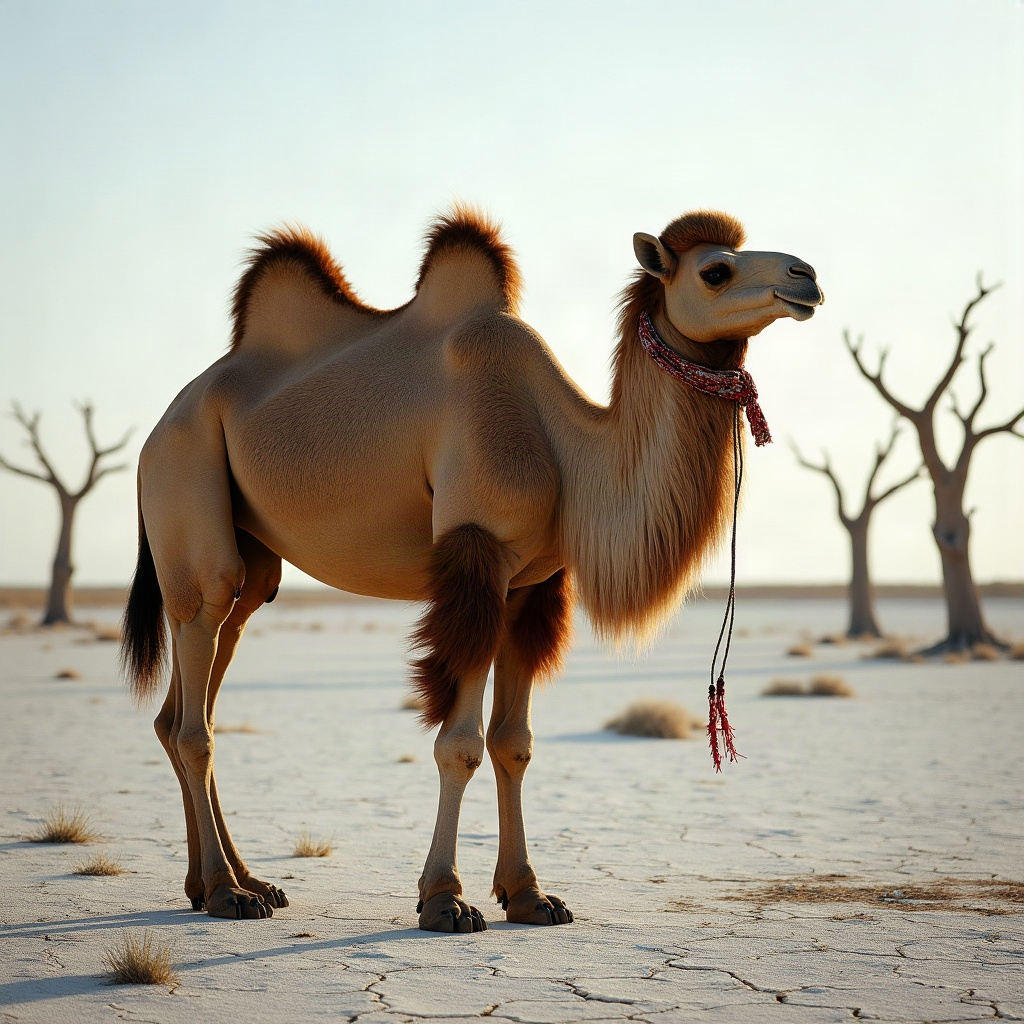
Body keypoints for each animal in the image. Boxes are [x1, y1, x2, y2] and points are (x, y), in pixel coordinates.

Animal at [121, 206, 822, 931]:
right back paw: (227, 891)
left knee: (183, 706)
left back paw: (233, 883)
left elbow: (515, 743)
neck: (567, 445)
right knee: (195, 715)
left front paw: (530, 895)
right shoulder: (477, 555)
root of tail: (158, 428)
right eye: (716, 271)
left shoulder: (531, 585)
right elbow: (459, 744)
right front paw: (444, 899)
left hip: (250, 568)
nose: (807, 276)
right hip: (188, 489)